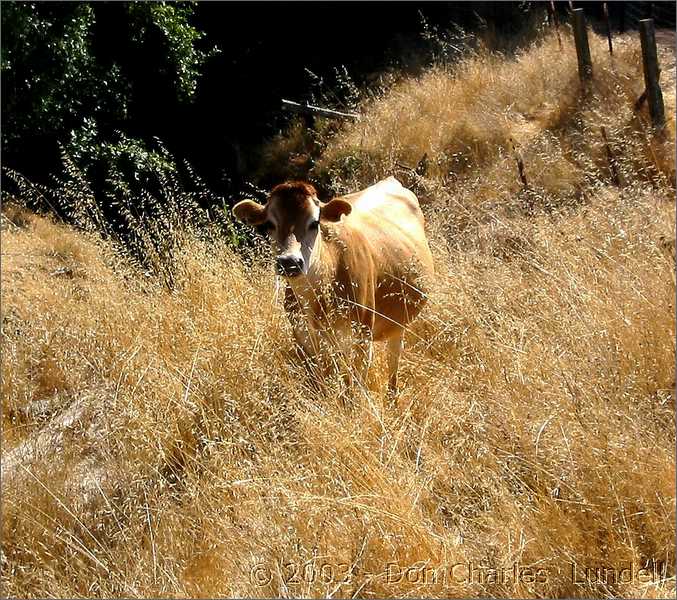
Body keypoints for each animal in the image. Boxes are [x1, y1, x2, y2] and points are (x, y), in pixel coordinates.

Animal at [232, 176, 434, 396]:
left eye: (314, 222)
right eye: (269, 223)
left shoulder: (361, 338)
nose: (289, 261)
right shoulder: (303, 338)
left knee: (393, 369)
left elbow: (354, 388)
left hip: (398, 324)